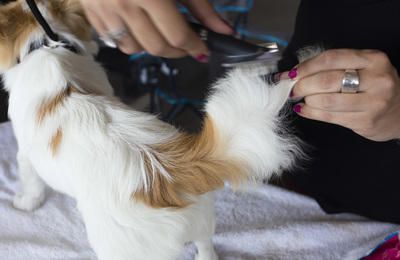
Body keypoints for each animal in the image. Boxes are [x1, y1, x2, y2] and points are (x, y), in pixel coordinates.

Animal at [0, 1, 300, 258]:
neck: (45, 46)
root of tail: (170, 173)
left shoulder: (25, 154)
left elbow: (31, 182)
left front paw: (25, 203)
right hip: (202, 221)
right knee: (206, 247)